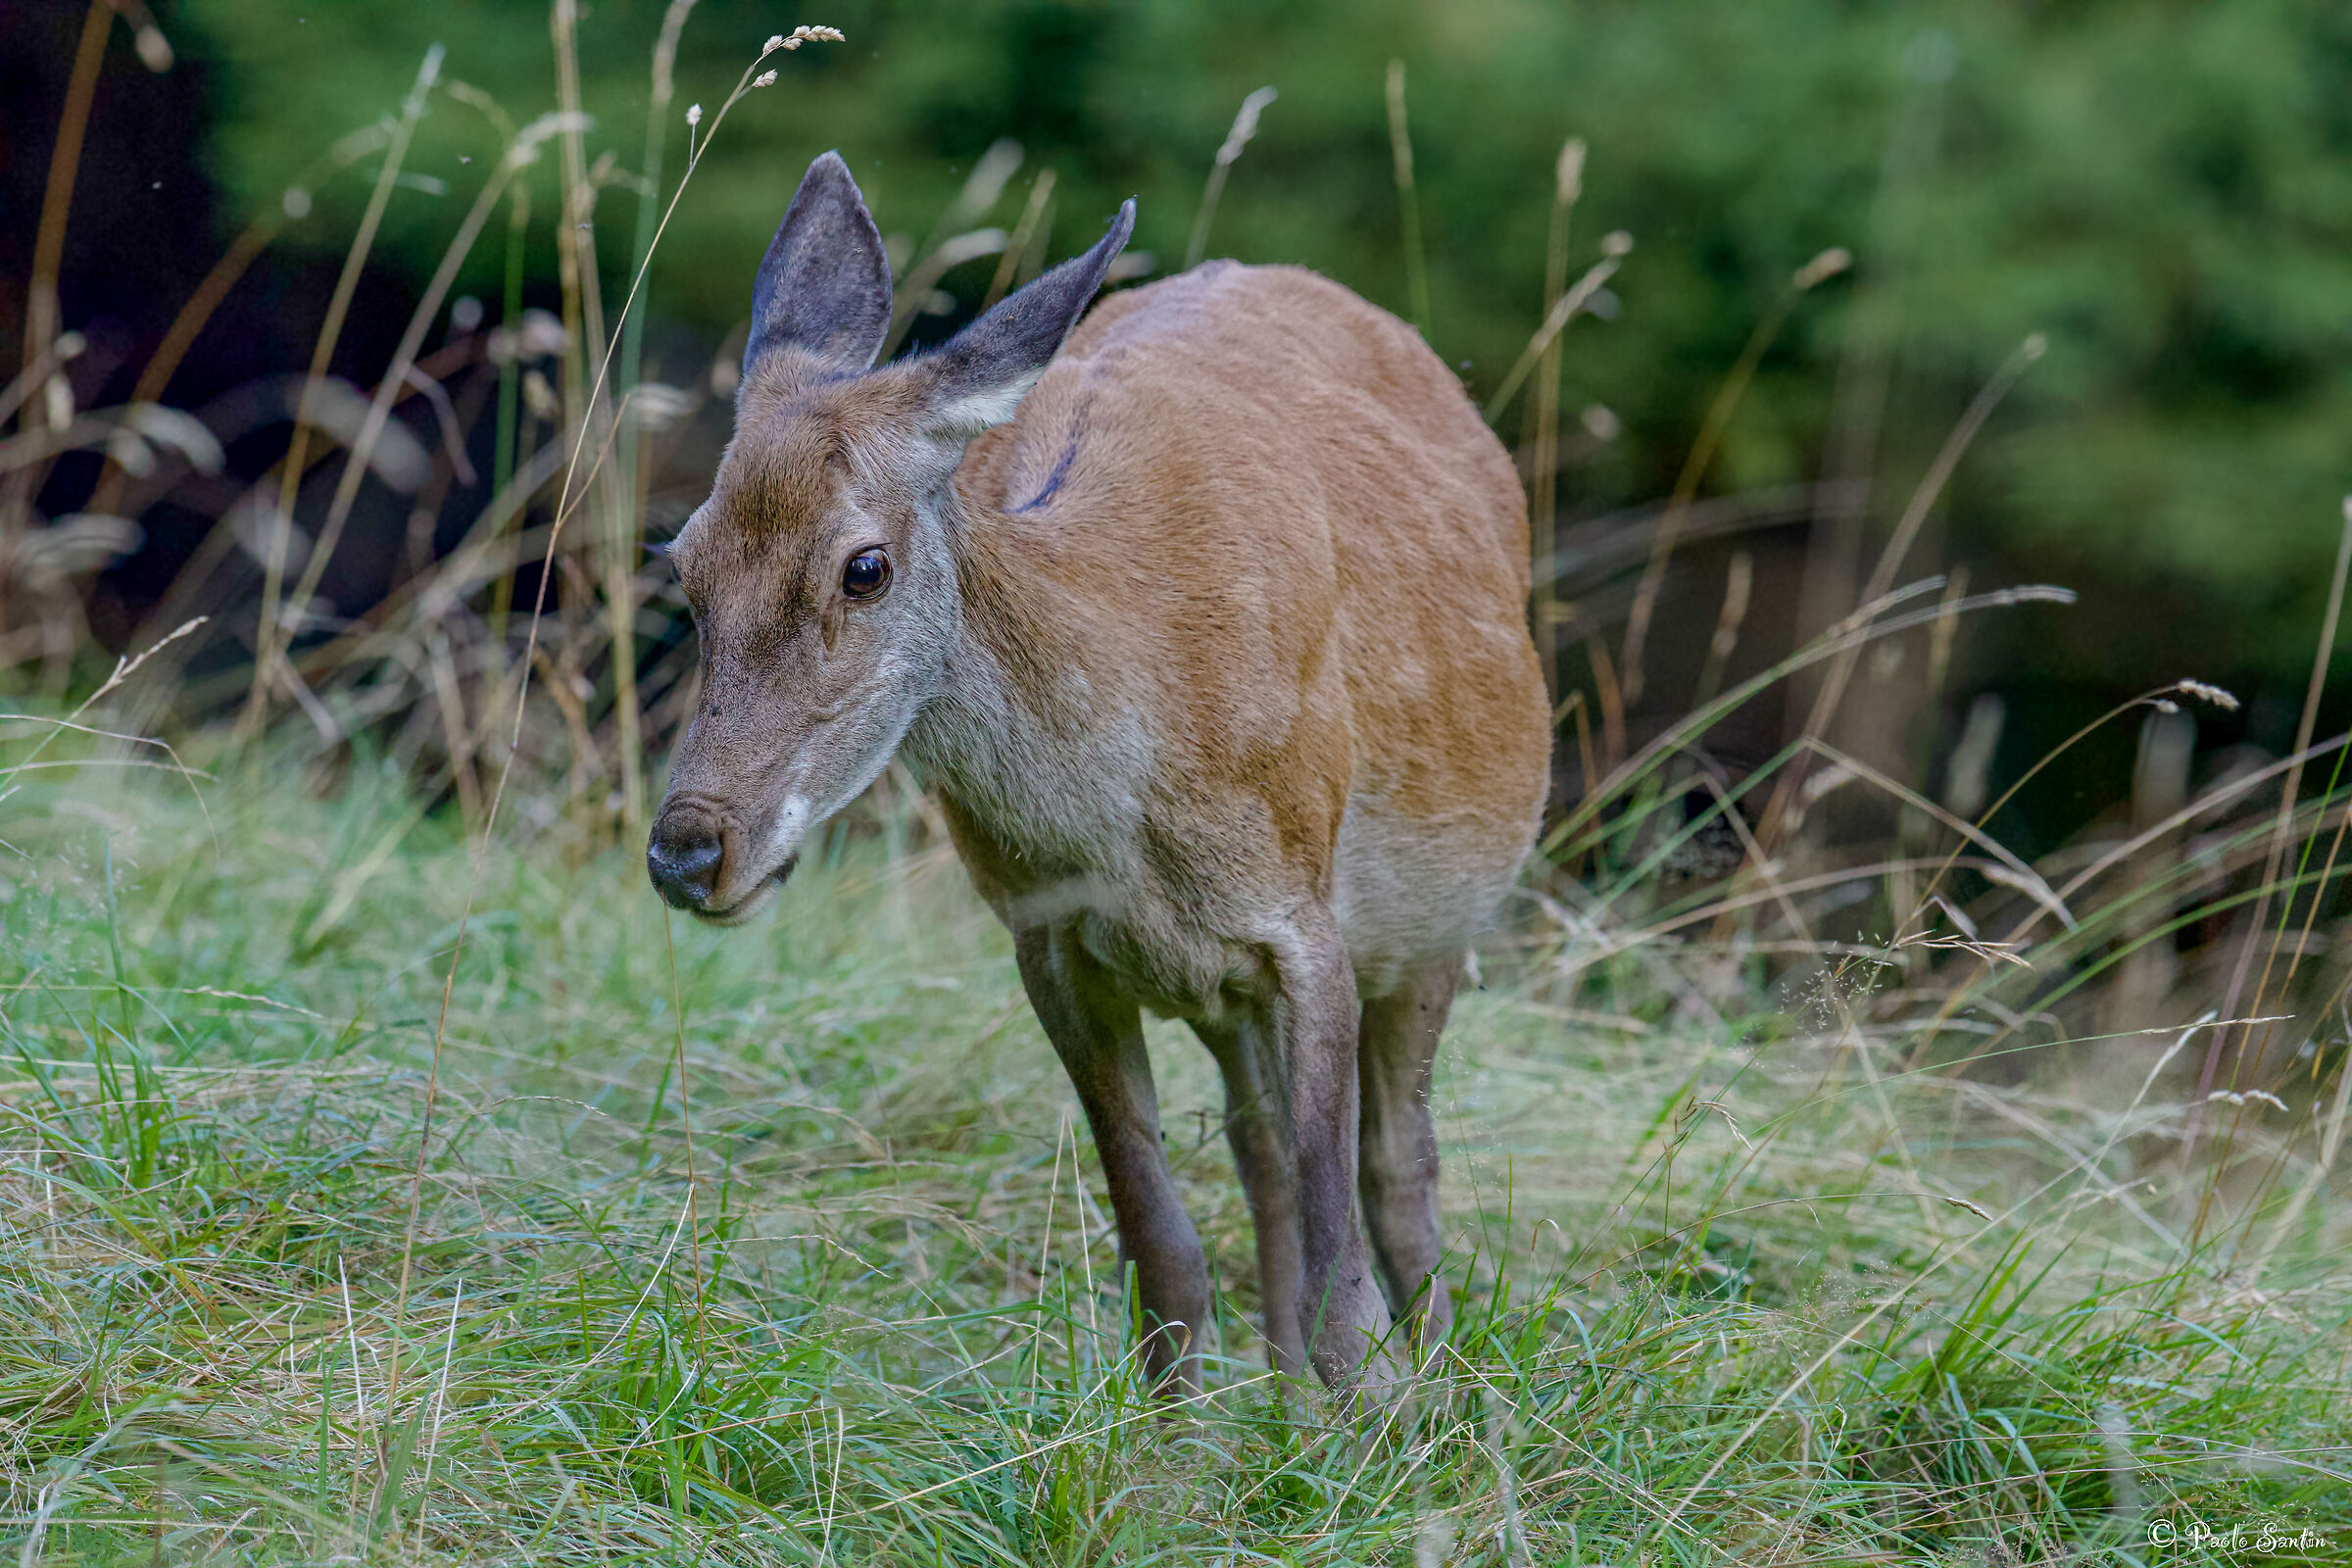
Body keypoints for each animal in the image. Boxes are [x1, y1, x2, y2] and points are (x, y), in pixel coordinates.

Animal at [647, 151, 1550, 1397]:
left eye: (864, 566)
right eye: (683, 564)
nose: (689, 851)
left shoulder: (1305, 920)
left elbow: (1347, 1283)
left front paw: (1387, 1419)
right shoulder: (1052, 942)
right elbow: (1163, 1259)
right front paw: (1181, 1438)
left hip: (1443, 917)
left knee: (1400, 1168)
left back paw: (1455, 1397)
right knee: (1262, 1147)